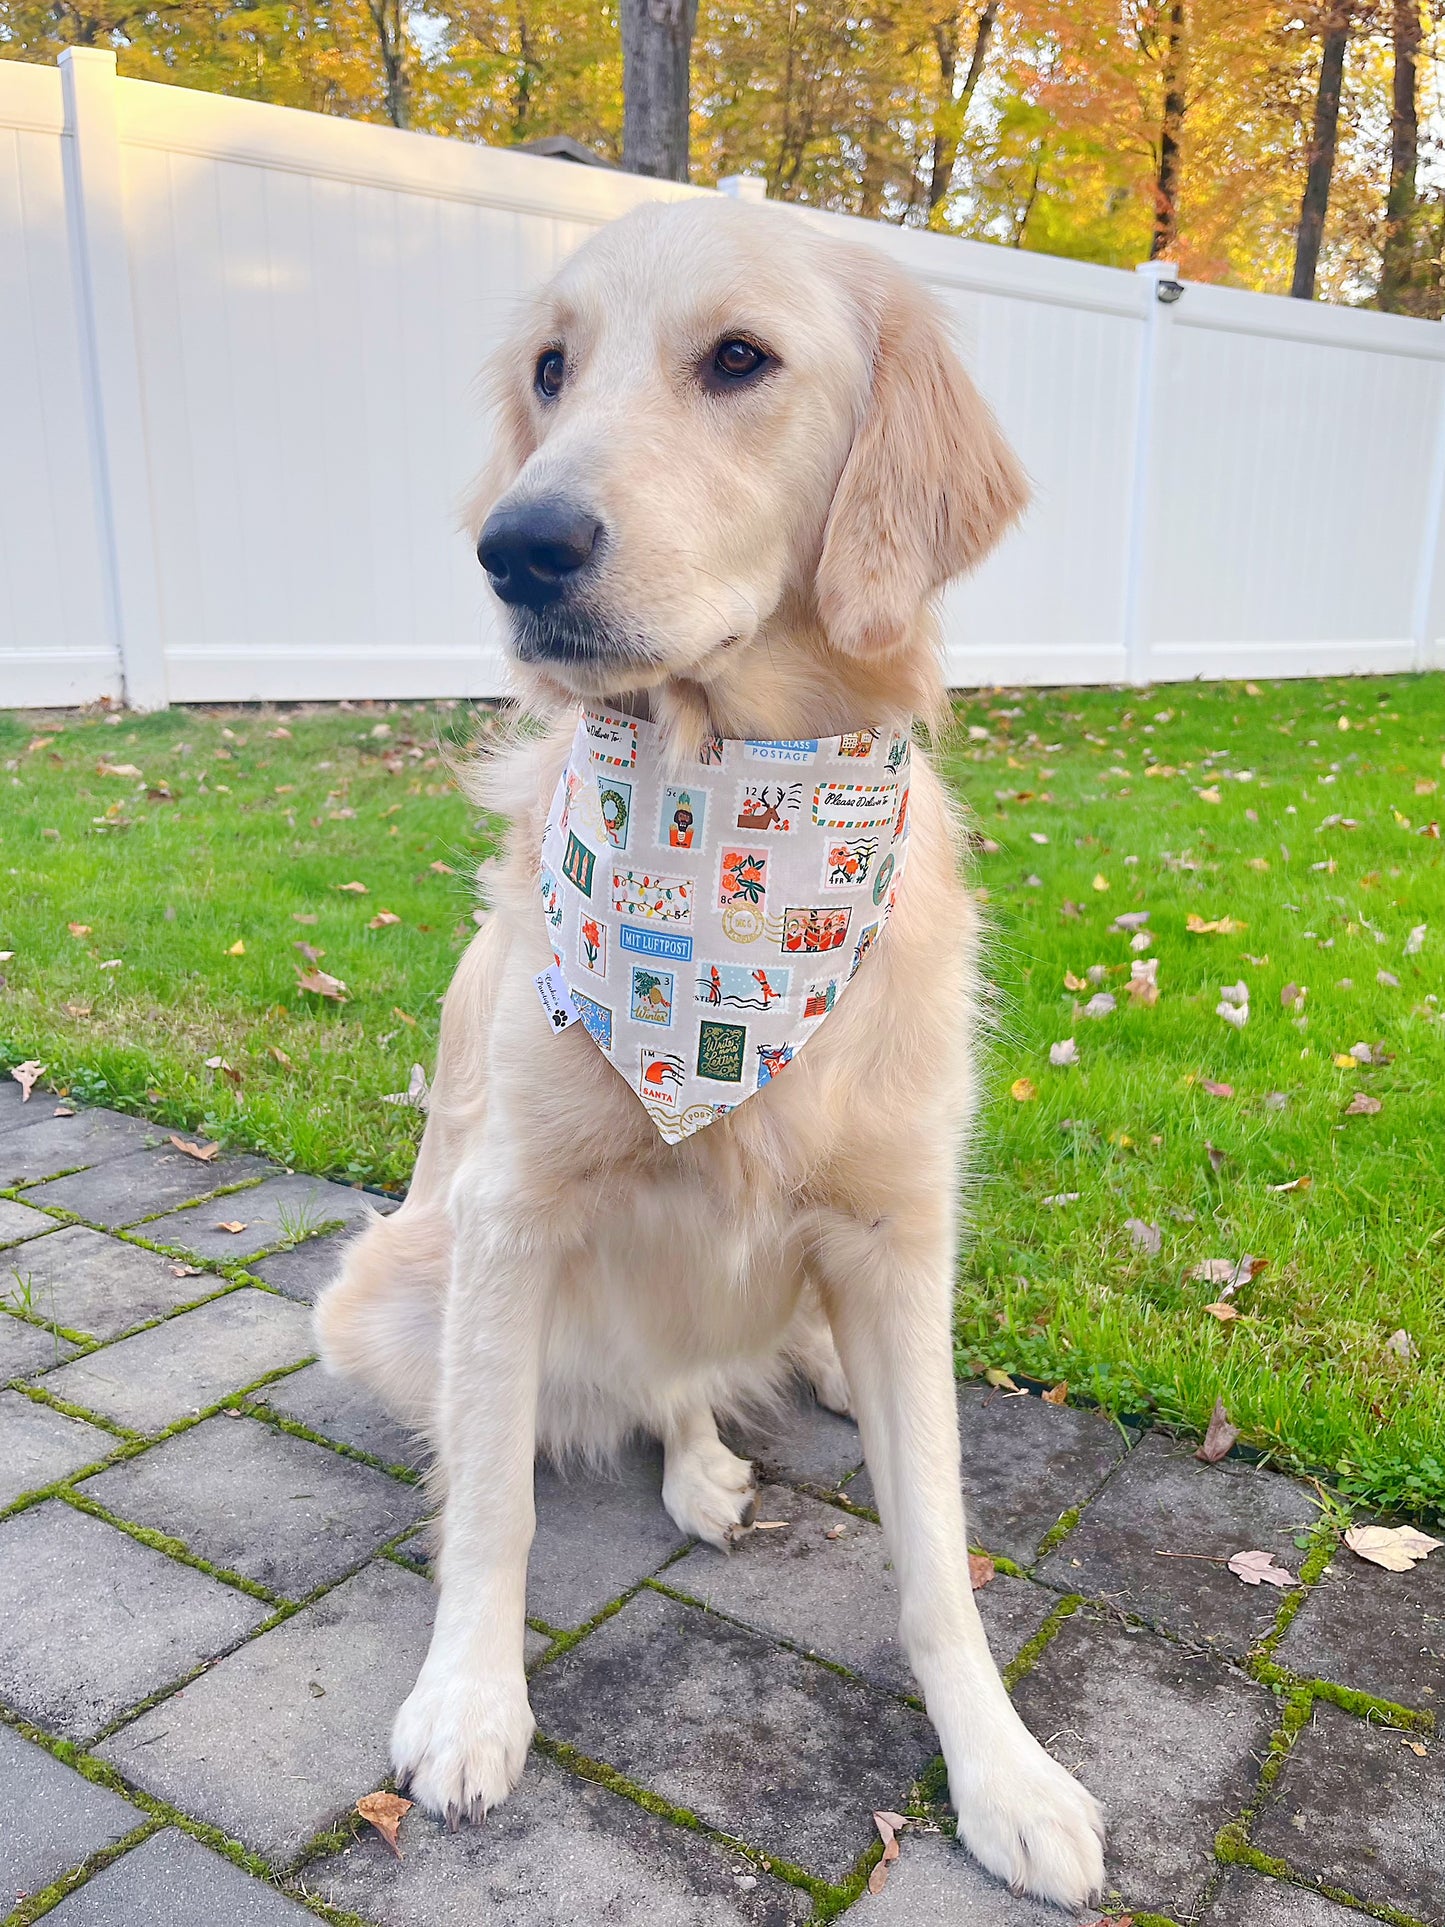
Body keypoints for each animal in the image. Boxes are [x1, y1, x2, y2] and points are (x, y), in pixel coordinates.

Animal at [319, 195, 1109, 1911]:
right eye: (551, 370)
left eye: (740, 359)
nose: (517, 545)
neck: (730, 782)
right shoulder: (508, 1211)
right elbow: (489, 1502)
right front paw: (468, 1699)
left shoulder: (896, 1238)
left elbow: (937, 1552)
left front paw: (1003, 1771)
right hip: (387, 1290)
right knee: (598, 1399)